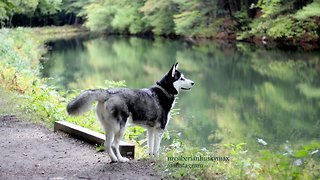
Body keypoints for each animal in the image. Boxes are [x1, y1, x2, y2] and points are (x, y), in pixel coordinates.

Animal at [66, 62, 194, 162]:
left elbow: (150, 147)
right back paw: (121, 159)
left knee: (107, 145)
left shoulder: (151, 129)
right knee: (114, 145)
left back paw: (114, 159)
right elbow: (156, 148)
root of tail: (107, 93)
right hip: (121, 128)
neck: (164, 90)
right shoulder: (160, 130)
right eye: (181, 78)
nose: (193, 83)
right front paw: (157, 159)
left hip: (109, 128)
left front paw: (151, 157)